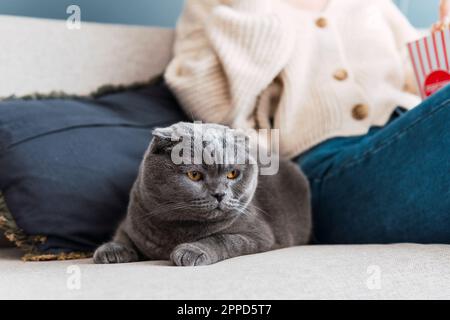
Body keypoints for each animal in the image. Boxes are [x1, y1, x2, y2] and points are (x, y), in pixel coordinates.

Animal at [92, 121, 310, 266]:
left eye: (232, 174)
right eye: (194, 175)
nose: (219, 194)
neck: (178, 229)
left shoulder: (260, 235)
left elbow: (224, 239)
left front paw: (191, 250)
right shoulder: (133, 219)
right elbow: (123, 234)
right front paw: (112, 250)